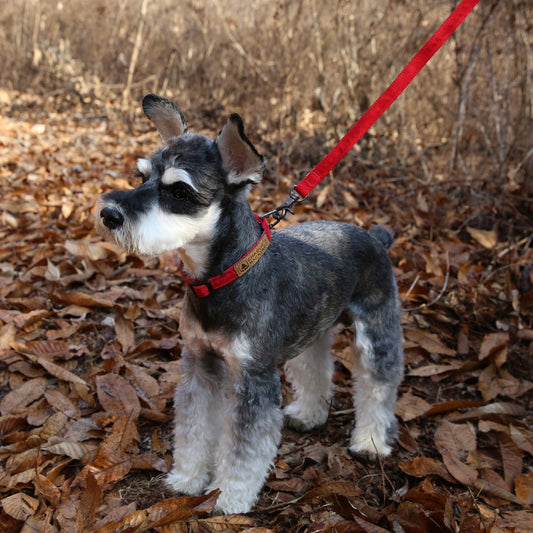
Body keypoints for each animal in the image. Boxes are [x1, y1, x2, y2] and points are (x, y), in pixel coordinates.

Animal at [96, 93, 404, 512]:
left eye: (179, 192)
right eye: (141, 176)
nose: (109, 214)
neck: (222, 276)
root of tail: (376, 238)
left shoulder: (254, 379)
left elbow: (244, 450)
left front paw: (228, 498)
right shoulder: (200, 364)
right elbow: (194, 428)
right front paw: (188, 478)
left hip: (376, 331)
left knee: (378, 385)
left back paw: (370, 441)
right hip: (314, 327)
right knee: (315, 367)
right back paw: (309, 414)